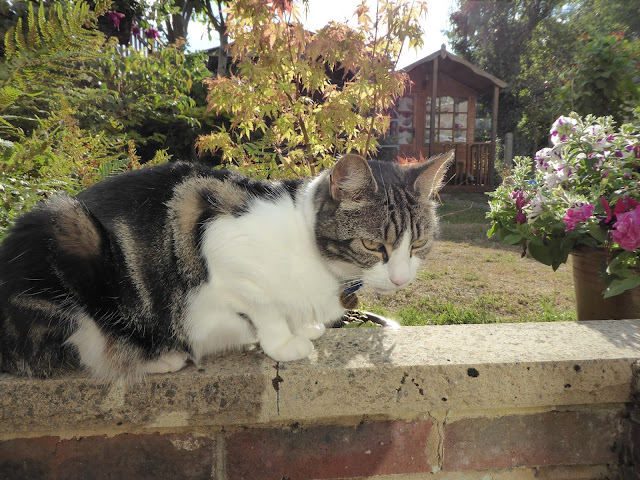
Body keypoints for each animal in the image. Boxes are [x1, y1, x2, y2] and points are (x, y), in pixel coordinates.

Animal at [0, 152, 453, 381]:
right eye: (373, 245)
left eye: (419, 243)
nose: (400, 279)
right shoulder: (222, 246)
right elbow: (265, 308)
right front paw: (284, 342)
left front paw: (304, 327)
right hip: (66, 227)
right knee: (76, 348)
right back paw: (155, 357)